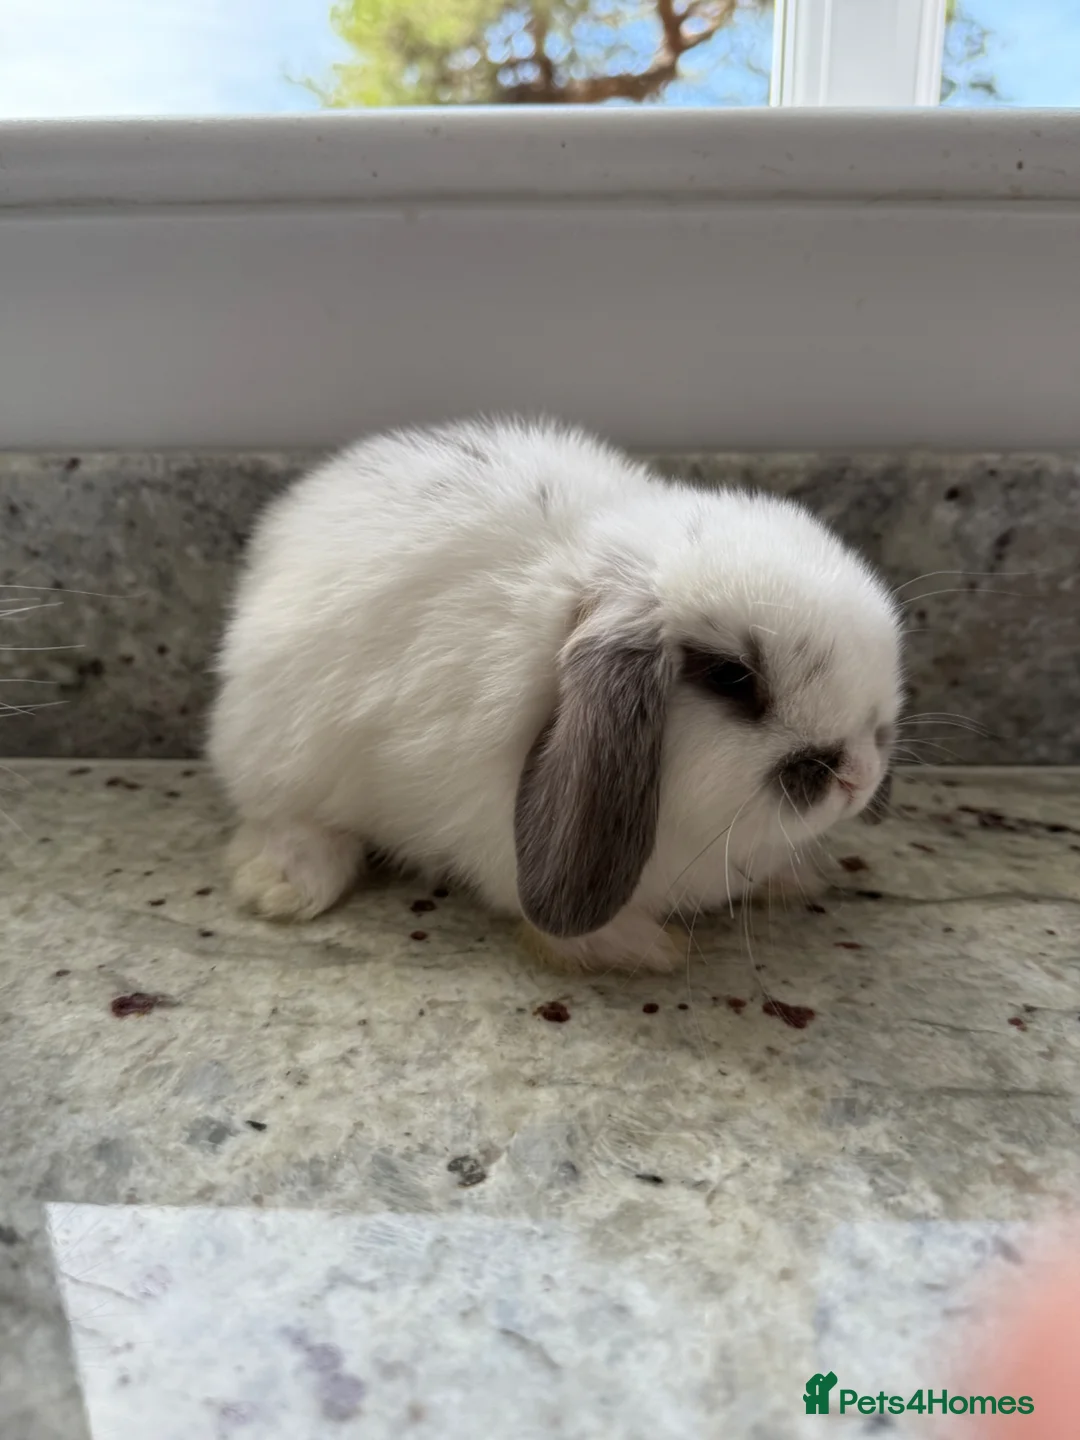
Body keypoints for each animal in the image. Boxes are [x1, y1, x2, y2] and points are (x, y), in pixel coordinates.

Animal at [207, 417, 902, 973]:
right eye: (730, 677)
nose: (858, 777)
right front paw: (644, 949)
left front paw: (796, 876)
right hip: (279, 749)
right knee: (286, 820)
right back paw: (282, 885)